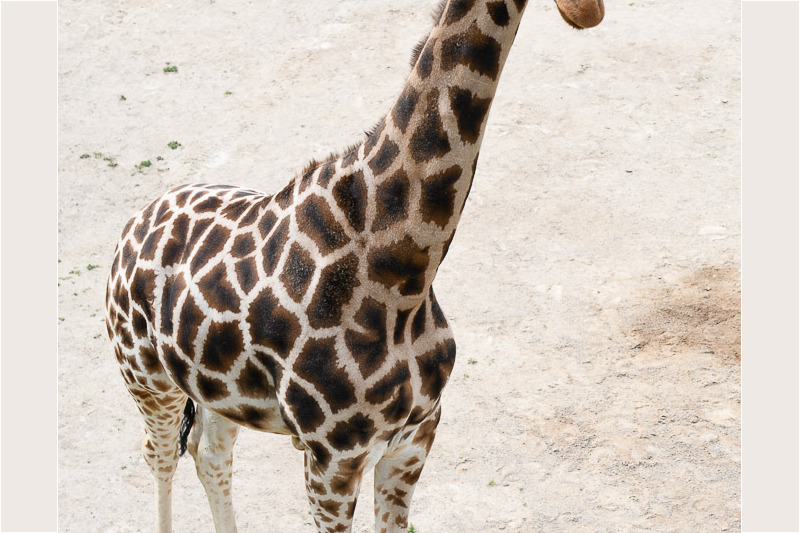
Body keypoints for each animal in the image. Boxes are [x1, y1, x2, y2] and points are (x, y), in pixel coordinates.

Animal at [105, 1, 604, 532]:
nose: (586, 15)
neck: (402, 271)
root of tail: (134, 223)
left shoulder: (416, 437)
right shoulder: (331, 461)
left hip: (217, 392)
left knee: (209, 455)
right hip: (147, 378)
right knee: (159, 454)